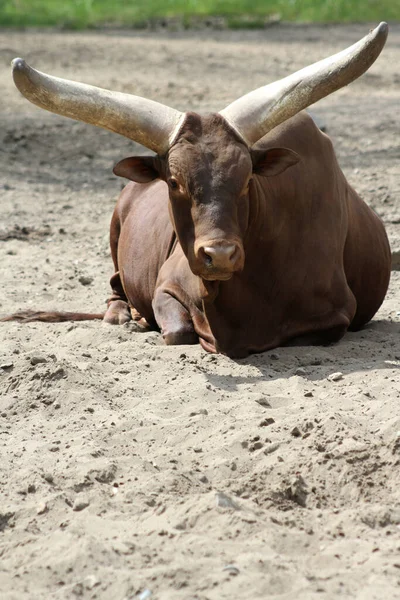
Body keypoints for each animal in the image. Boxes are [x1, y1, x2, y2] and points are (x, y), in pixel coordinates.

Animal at [3, 25, 390, 358]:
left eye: (247, 179)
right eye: (174, 182)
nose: (219, 255)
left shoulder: (335, 317)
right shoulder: (166, 285)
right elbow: (178, 332)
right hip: (114, 234)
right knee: (115, 285)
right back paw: (123, 315)